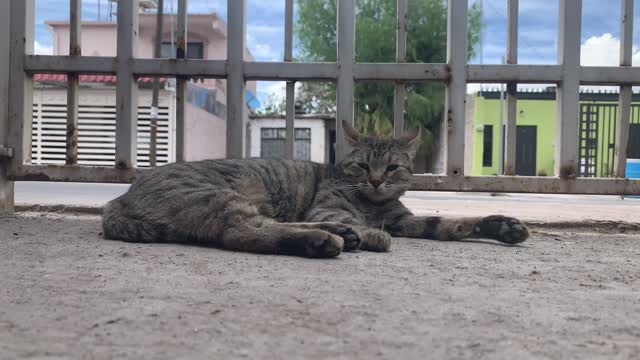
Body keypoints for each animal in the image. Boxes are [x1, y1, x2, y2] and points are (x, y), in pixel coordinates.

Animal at [102, 122, 528, 258]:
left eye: (392, 167)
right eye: (362, 165)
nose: (376, 180)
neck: (372, 205)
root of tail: (119, 197)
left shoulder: (404, 220)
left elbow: (450, 223)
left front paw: (502, 225)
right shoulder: (326, 207)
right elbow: (363, 222)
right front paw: (372, 234)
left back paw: (339, 235)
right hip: (220, 197)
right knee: (242, 233)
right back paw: (325, 240)